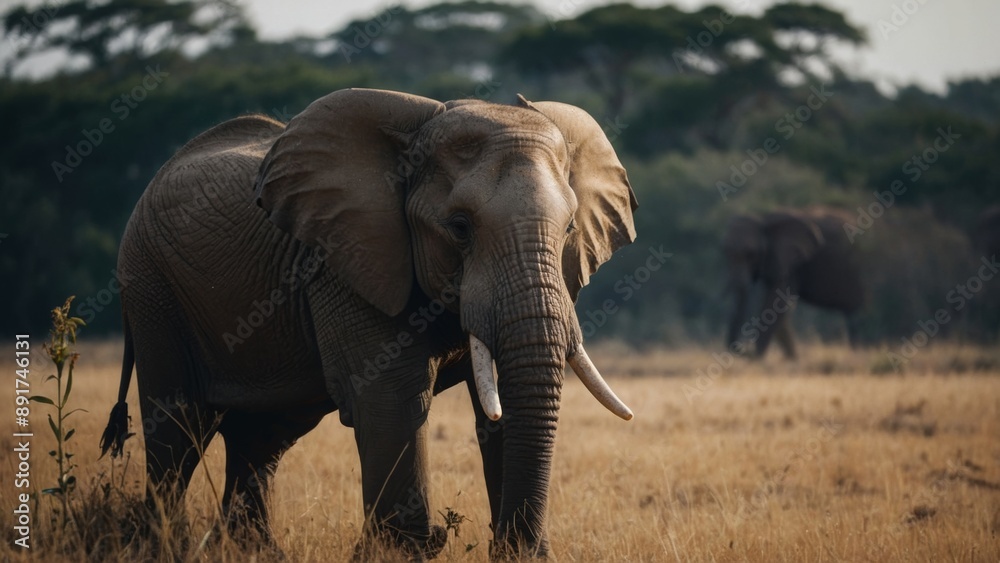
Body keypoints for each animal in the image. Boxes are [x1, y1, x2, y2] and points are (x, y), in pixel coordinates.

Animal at [99, 88, 638, 559]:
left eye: (569, 229)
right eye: (460, 228)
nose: (519, 546)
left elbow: (501, 400)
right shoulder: (343, 260)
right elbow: (393, 396)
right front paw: (406, 551)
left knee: (261, 435)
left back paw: (256, 552)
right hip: (151, 287)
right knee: (178, 427)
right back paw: (159, 546)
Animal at [722, 207, 864, 359]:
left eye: (751, 254)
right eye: (725, 251)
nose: (744, 349)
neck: (763, 219)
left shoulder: (791, 264)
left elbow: (776, 305)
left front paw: (758, 359)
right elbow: (779, 309)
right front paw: (792, 359)